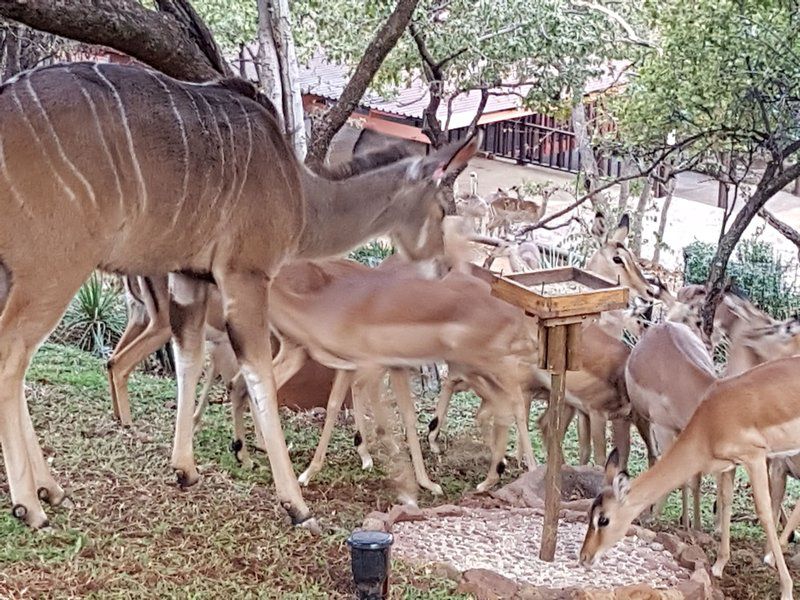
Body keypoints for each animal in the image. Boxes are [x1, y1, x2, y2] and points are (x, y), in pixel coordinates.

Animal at [0, 61, 478, 528]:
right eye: (442, 209)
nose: (443, 268)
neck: (303, 196)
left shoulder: (190, 277)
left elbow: (189, 360)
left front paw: (185, 470)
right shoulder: (244, 274)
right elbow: (256, 374)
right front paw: (296, 504)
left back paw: (51, 489)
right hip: (55, 269)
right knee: (12, 353)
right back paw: (30, 505)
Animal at [584, 356, 800, 600]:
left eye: (603, 519)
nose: (585, 557)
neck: (711, 422)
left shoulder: (754, 458)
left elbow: (764, 514)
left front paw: (786, 589)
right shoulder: (729, 466)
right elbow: (726, 502)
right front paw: (718, 566)